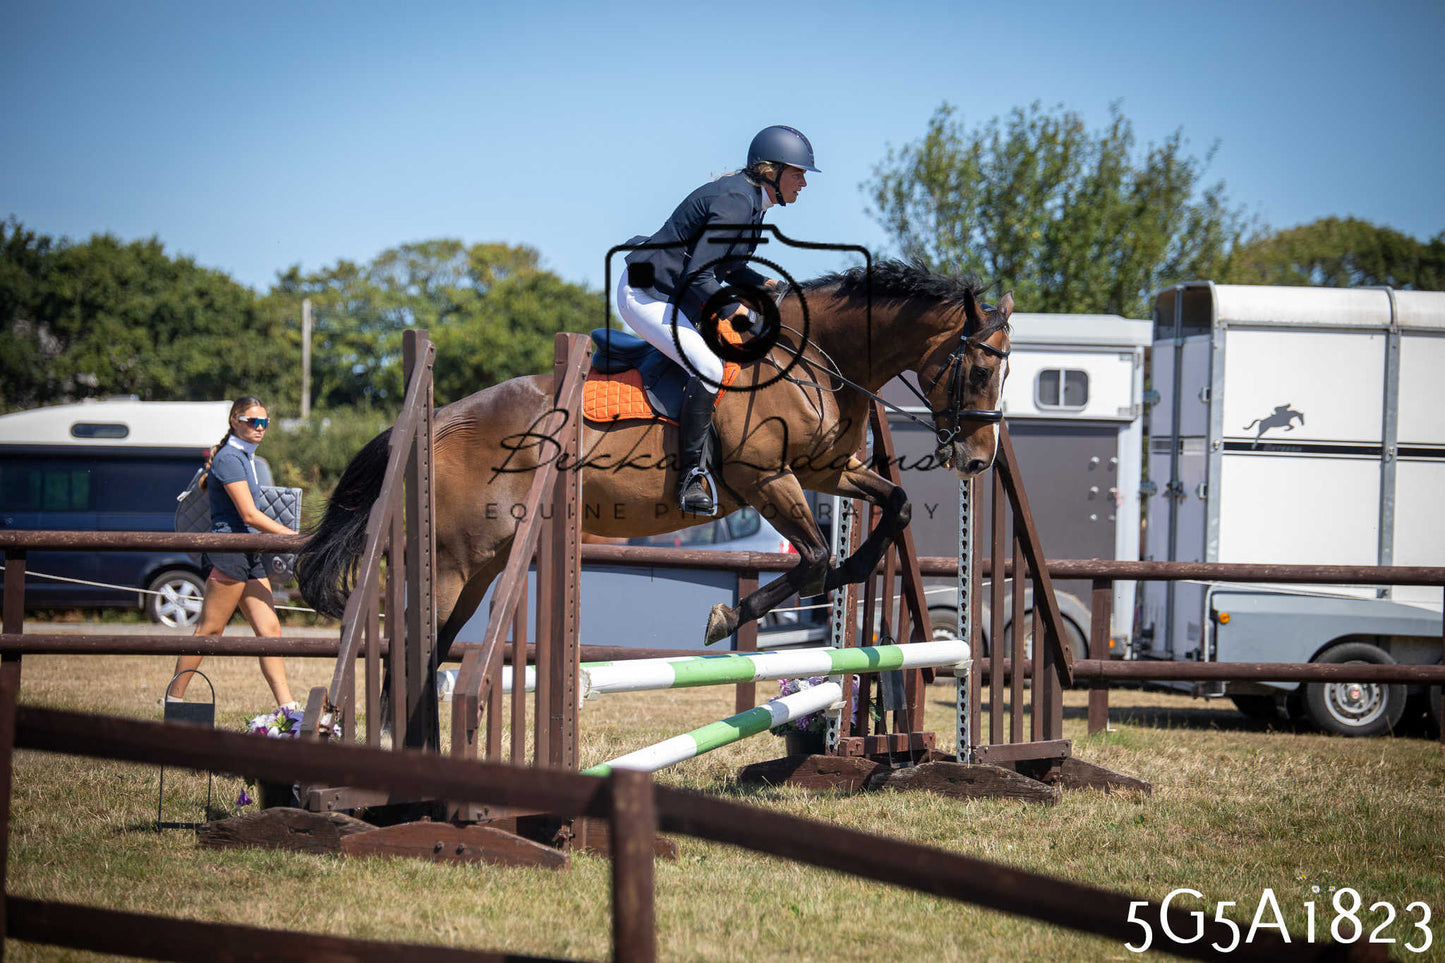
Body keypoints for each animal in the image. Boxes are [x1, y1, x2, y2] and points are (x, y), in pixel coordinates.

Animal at [297, 260, 1013, 657]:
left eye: (1004, 372)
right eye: (980, 370)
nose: (978, 462)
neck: (813, 358)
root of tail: (437, 422)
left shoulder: (824, 472)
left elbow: (895, 506)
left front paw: (853, 573)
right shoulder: (765, 479)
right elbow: (811, 557)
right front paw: (726, 617)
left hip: (482, 566)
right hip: (450, 565)